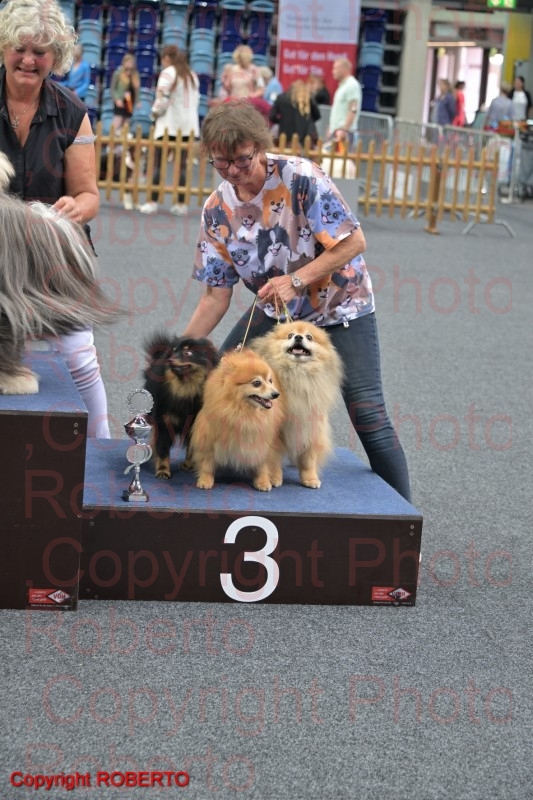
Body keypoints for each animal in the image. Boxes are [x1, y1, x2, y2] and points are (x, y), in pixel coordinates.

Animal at [143, 333, 220, 479]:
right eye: (174, 351)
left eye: (187, 353)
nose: (170, 359)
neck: (184, 389)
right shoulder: (164, 423)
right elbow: (162, 449)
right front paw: (162, 470)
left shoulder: (194, 424)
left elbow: (192, 447)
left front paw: (188, 464)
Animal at [188, 349, 285, 491]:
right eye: (257, 383)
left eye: (270, 381)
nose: (276, 394)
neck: (242, 412)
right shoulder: (208, 440)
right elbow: (207, 464)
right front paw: (205, 480)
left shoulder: (260, 442)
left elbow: (262, 465)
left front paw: (263, 482)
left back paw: (275, 477)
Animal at [252, 321, 343, 488]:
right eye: (290, 335)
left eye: (309, 337)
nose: (299, 337)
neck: (297, 377)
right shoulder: (275, 432)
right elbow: (273, 458)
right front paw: (274, 478)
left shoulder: (311, 427)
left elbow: (309, 458)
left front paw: (310, 478)